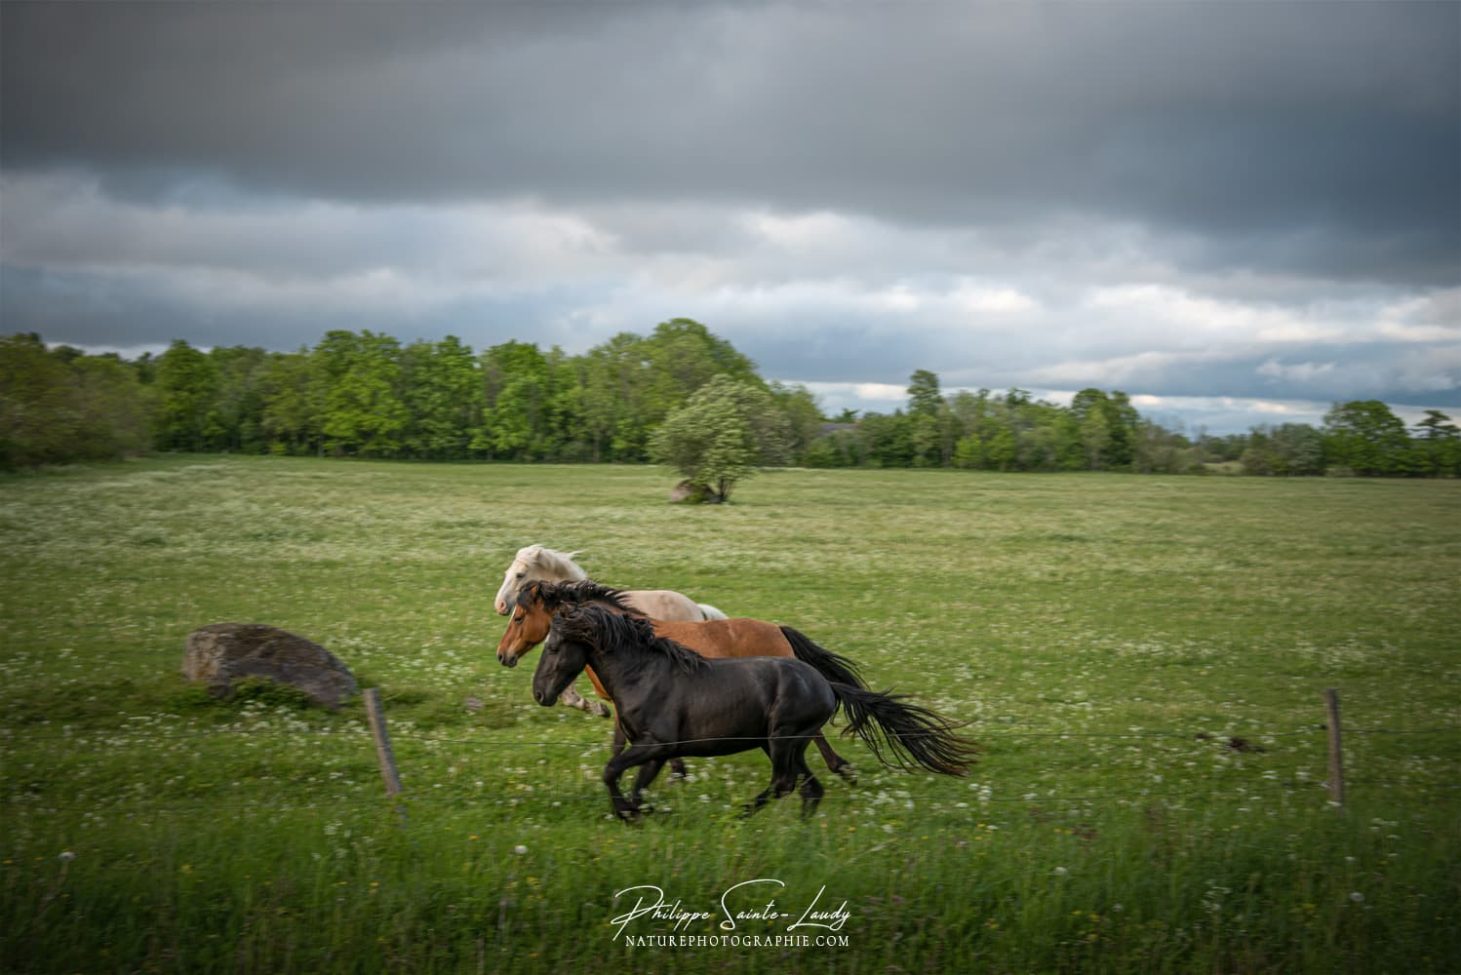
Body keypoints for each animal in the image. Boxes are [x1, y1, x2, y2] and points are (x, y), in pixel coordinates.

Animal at [493, 545, 726, 716]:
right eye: (505, 573)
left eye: (519, 575)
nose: (500, 605)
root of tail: (697, 608)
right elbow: (568, 695)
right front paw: (598, 708)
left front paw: (599, 709)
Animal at [497, 579, 862, 780]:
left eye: (519, 617)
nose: (503, 655)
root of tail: (778, 630)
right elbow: (621, 743)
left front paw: (673, 774)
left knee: (812, 731)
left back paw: (842, 768)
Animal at [533, 604, 976, 821]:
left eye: (553, 647)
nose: (540, 692)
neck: (645, 674)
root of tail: (826, 684)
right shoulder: (656, 752)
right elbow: (636, 784)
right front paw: (635, 814)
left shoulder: (653, 745)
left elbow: (612, 771)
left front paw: (627, 812)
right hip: (784, 743)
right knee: (809, 788)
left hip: (781, 740)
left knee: (784, 783)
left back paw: (743, 814)